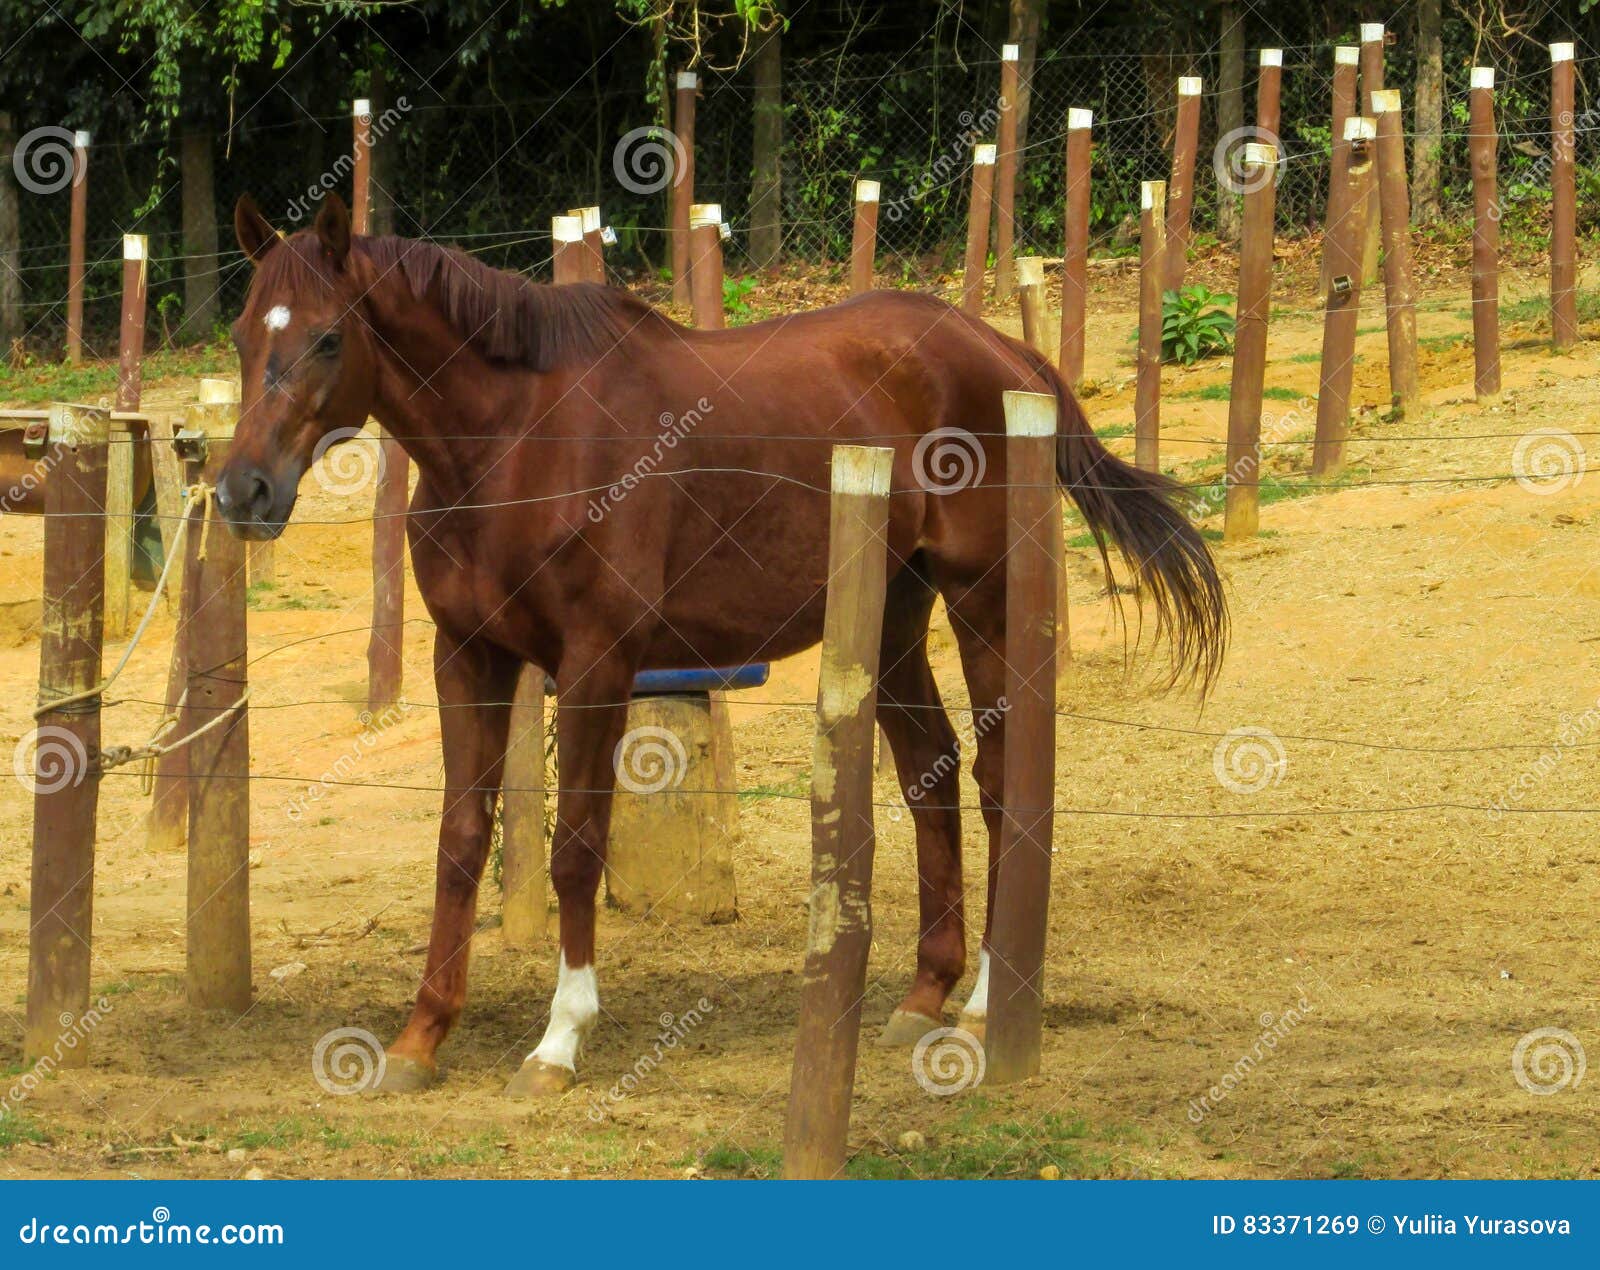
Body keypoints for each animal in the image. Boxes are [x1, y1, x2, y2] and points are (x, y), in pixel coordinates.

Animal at [215, 193, 1227, 1097]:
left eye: (328, 338)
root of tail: (1001, 350)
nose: (243, 491)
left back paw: (982, 1004)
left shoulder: (595, 663)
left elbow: (576, 845)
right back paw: (922, 994)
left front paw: (559, 1041)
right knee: (930, 775)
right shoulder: (466, 656)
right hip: (892, 616)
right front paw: (421, 1038)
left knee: (997, 780)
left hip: (983, 601)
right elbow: (461, 840)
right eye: (243, 335)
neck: (517, 445)